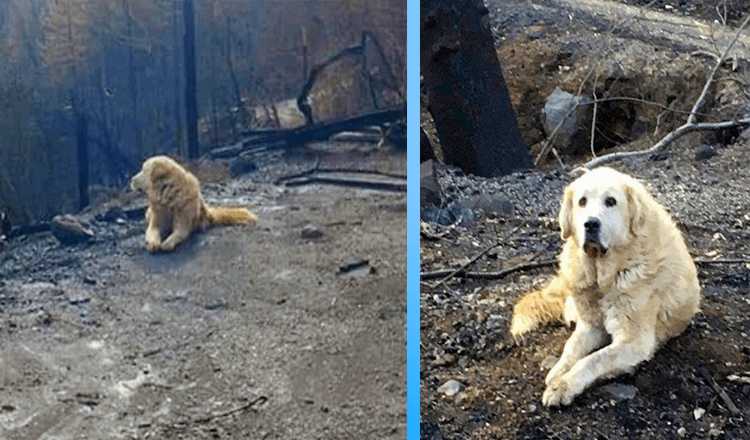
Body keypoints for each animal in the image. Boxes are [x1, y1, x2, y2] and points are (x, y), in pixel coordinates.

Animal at [130, 156, 258, 253]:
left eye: (143, 171)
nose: (131, 179)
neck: (168, 194)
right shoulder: (158, 217)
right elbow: (152, 231)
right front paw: (153, 243)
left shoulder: (183, 224)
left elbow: (178, 233)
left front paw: (167, 242)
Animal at [512, 168, 704, 406]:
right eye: (582, 201)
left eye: (611, 201)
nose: (591, 224)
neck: (602, 275)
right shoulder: (590, 327)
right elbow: (571, 348)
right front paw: (558, 372)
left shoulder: (634, 341)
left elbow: (593, 359)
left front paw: (563, 386)